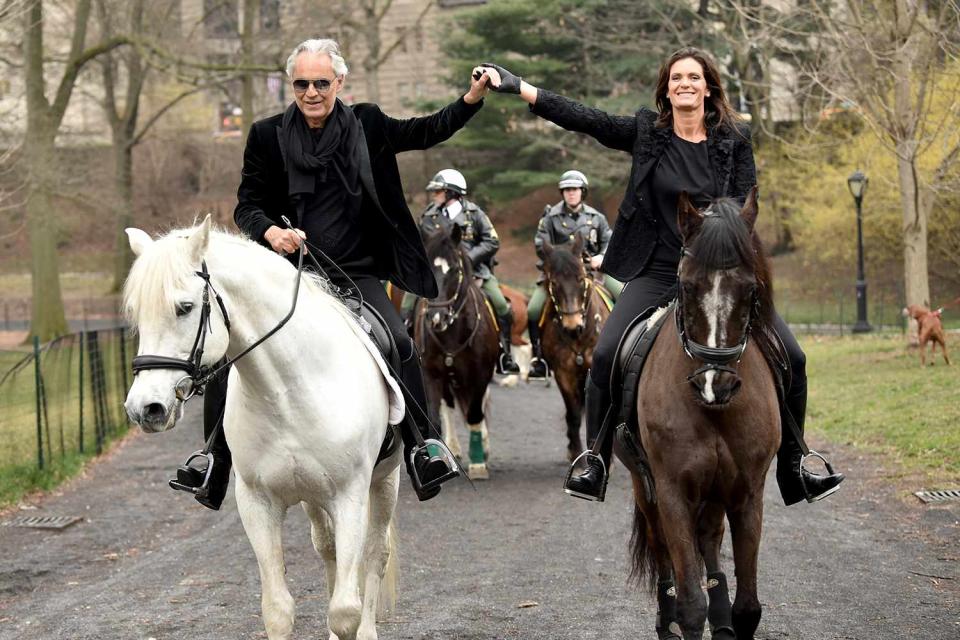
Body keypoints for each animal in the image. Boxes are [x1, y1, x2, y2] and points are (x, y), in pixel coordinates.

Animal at [121, 216, 404, 640]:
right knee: (329, 550)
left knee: (374, 554)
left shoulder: (350, 497)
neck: (287, 389)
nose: (145, 409)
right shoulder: (257, 503)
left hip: (385, 482)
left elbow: (345, 612)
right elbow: (278, 610)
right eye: (138, 313)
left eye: (184, 308)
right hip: (312, 497)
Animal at [414, 226, 498, 480]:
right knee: (448, 406)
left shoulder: (481, 375)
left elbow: (474, 415)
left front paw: (478, 462)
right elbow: (434, 416)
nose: (435, 318)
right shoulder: (430, 373)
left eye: (454, 270)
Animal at [536, 235, 612, 460]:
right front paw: (577, 454)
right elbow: (574, 415)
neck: (580, 336)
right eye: (554, 282)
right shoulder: (564, 374)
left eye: (580, 279)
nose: (572, 325)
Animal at [628, 186, 784, 640]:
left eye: (751, 289)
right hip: (645, 487)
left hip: (716, 491)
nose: (716, 384)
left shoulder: (748, 492)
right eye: (686, 285)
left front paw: (729, 616)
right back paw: (666, 620)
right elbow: (690, 605)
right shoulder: (672, 491)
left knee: (710, 538)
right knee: (661, 547)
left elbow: (748, 607)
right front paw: (686, 615)